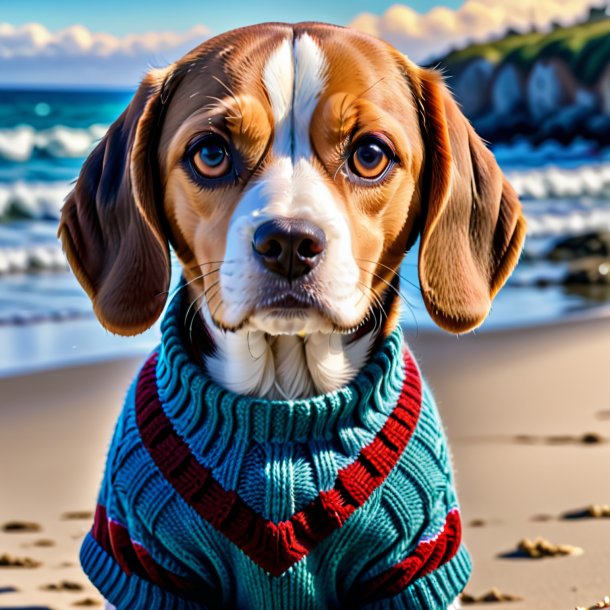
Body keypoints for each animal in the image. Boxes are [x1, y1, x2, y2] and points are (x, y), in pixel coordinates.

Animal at [59, 21, 524, 604]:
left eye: (370, 154)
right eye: (210, 153)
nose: (288, 242)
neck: (284, 398)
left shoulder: (410, 566)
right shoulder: (153, 567)